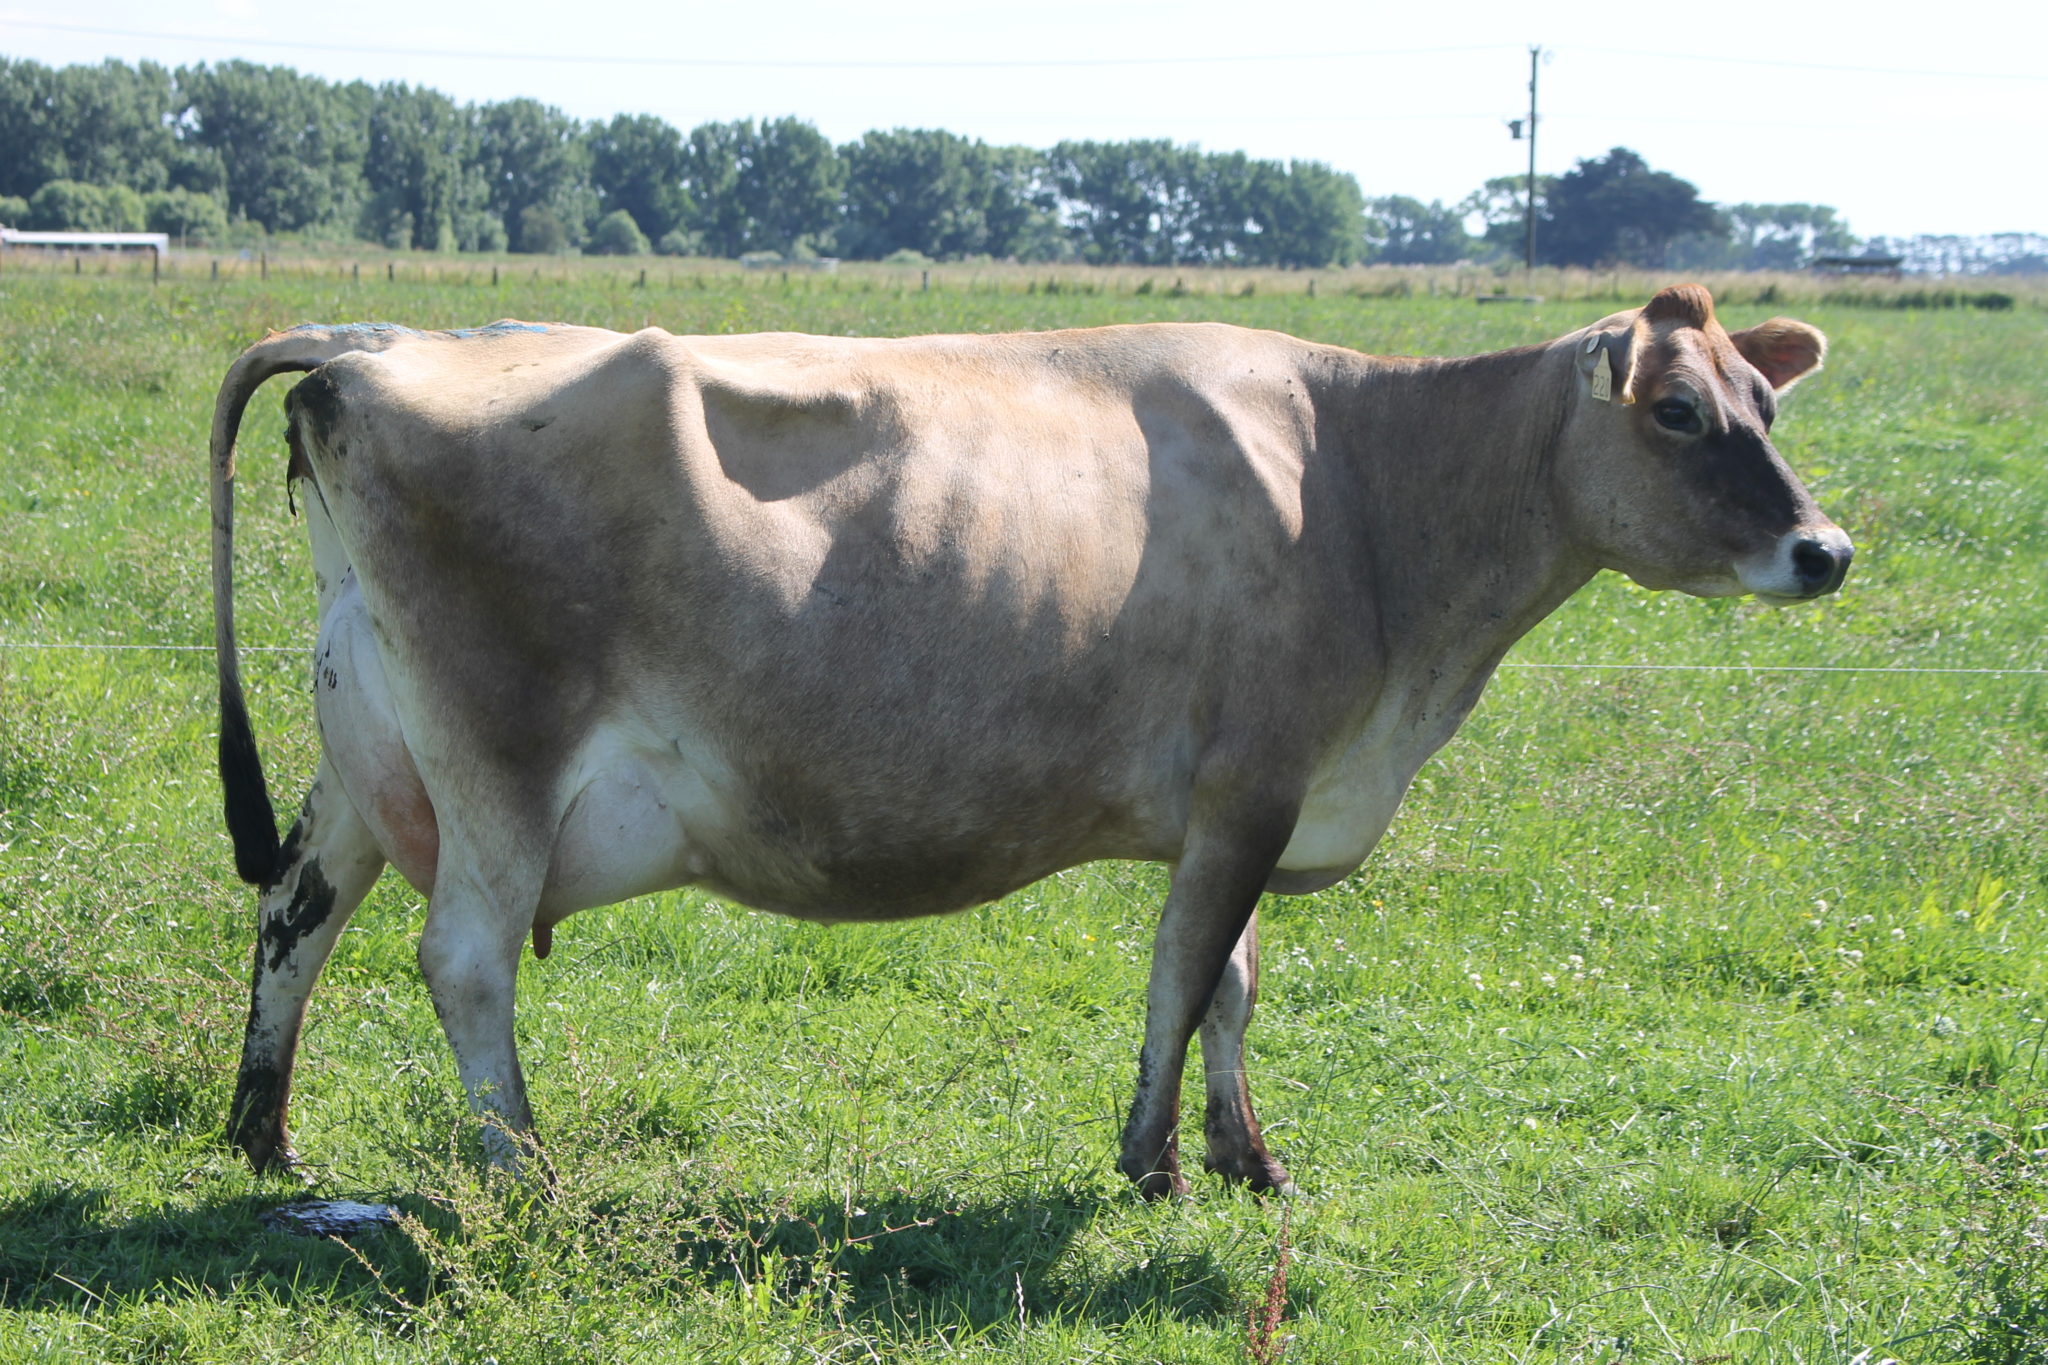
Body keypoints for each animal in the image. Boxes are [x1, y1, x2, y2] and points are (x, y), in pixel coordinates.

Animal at [211, 286, 1859, 1195]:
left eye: (1767, 404)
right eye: (1672, 413)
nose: (1827, 550)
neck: (1369, 492)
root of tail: (375, 346)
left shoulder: (1240, 801)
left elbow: (1233, 988)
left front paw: (1249, 1158)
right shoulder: (1253, 784)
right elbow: (1188, 979)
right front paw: (1151, 1164)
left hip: (365, 740)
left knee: (297, 908)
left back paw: (264, 1138)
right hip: (500, 755)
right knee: (460, 958)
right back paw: (525, 1172)